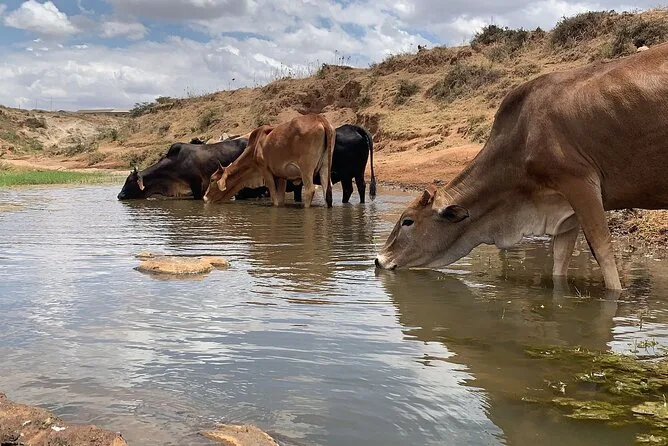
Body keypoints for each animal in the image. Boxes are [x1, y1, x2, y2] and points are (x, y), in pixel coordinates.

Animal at [203, 113, 335, 208]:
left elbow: (275, 198)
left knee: (309, 190)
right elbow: (280, 198)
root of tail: (319, 119)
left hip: (306, 168)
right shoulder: (281, 176)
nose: (205, 198)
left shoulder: (265, 170)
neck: (254, 147)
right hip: (325, 166)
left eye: (212, 180)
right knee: (327, 190)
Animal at [375, 43, 668, 290]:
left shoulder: (579, 182)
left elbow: (603, 249)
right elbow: (560, 259)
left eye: (407, 221)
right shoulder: (565, 209)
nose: (379, 259)